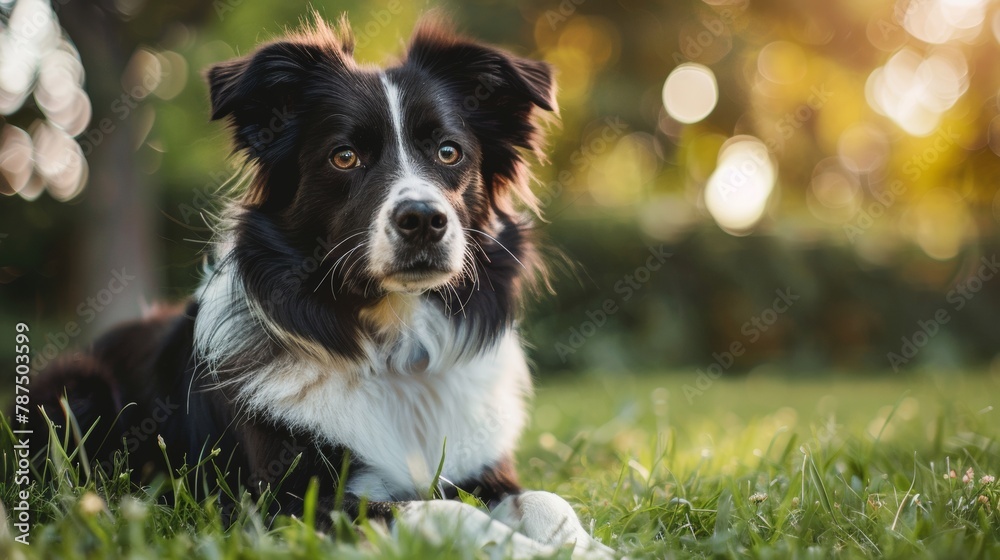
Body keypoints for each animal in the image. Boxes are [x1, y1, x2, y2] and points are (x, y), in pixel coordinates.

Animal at [29, 13, 608, 560]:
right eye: (344, 156)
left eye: (449, 152)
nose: (423, 219)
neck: (394, 348)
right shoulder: (284, 503)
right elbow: (444, 512)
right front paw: (528, 550)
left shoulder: (481, 470)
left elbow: (544, 499)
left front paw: (586, 545)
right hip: (77, 386)